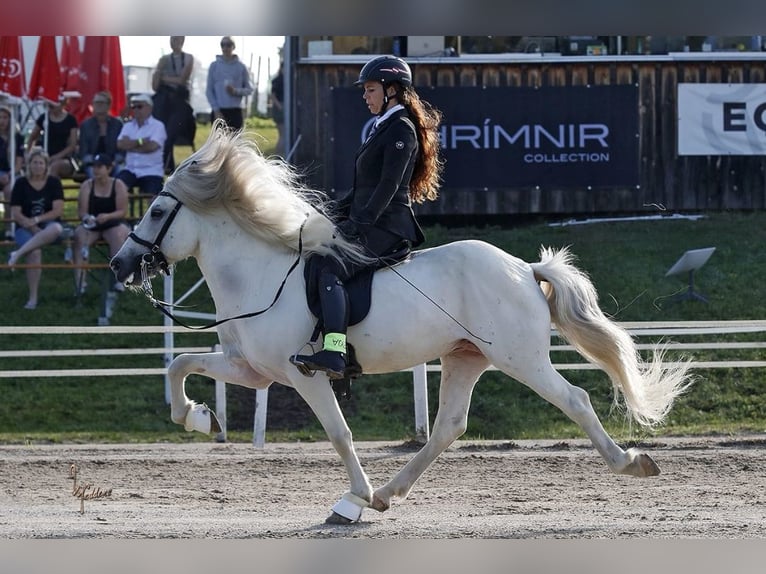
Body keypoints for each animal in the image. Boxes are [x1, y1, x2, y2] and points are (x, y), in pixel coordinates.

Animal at [112, 122, 696, 528]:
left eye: (157, 211)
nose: (120, 265)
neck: (259, 273)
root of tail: (524, 268)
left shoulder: (302, 374)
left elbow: (339, 433)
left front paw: (352, 500)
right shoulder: (251, 369)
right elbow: (179, 363)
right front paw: (197, 418)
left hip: (519, 358)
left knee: (574, 399)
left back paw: (631, 463)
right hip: (465, 357)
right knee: (448, 427)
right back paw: (391, 493)